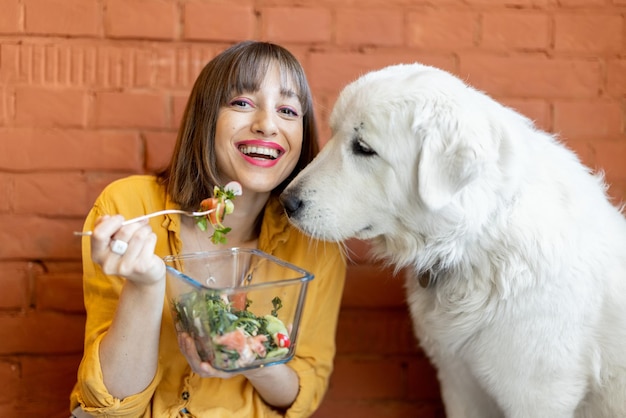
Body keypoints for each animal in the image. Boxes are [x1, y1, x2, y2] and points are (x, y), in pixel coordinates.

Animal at [280, 63, 624, 416]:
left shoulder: (538, 396)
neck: (476, 240)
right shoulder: (459, 381)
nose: (285, 202)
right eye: (334, 133)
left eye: (363, 147)